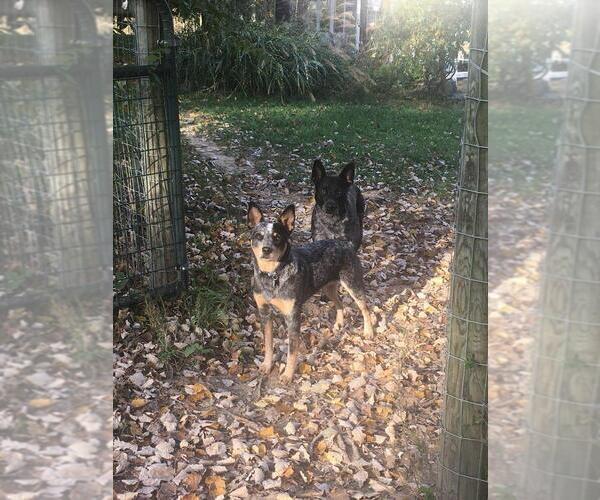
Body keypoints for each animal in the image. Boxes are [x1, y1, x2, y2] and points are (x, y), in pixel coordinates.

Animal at [246, 203, 372, 382]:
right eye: (258, 235)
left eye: (277, 237)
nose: (266, 249)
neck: (272, 275)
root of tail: (345, 243)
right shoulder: (264, 312)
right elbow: (268, 342)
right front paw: (266, 365)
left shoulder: (292, 317)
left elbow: (292, 350)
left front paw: (288, 374)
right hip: (328, 287)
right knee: (339, 303)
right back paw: (339, 324)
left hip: (353, 284)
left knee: (365, 308)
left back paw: (369, 331)